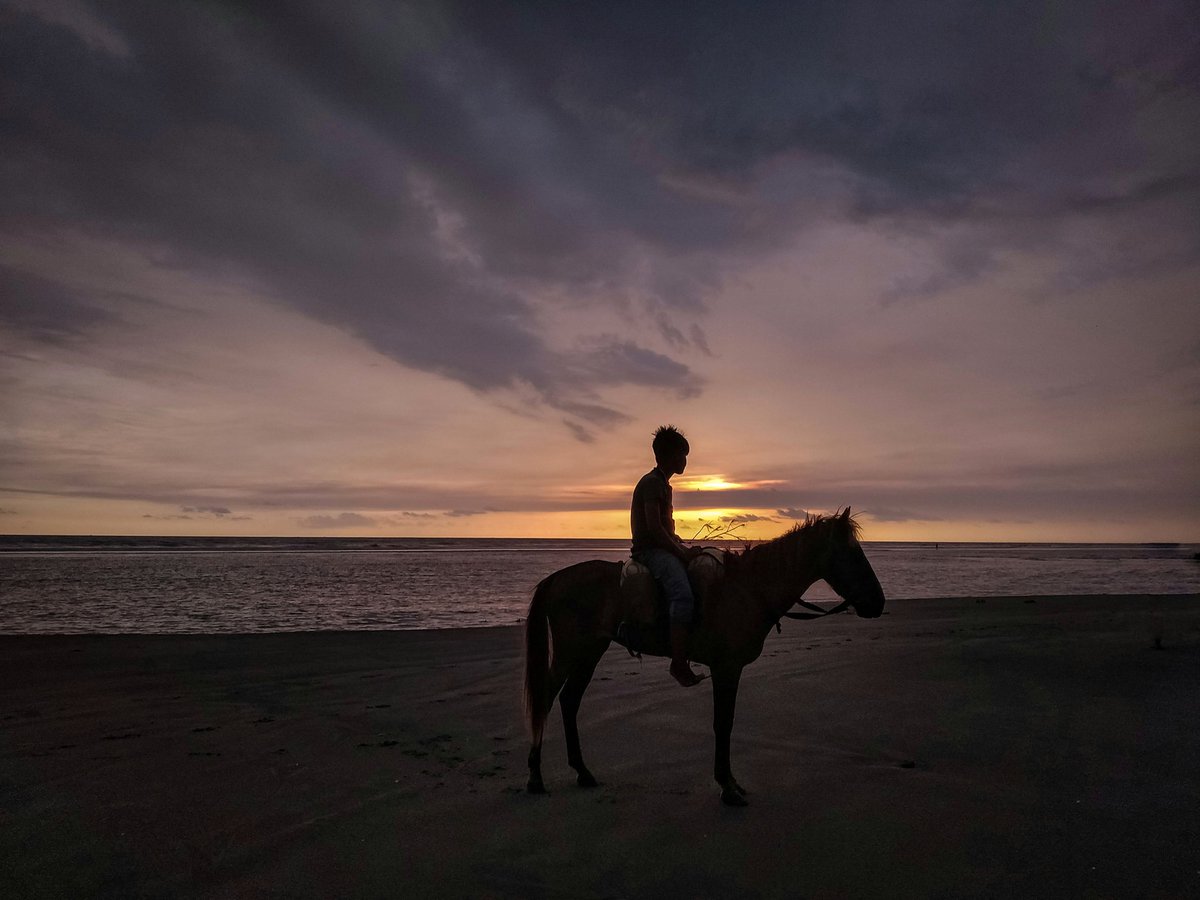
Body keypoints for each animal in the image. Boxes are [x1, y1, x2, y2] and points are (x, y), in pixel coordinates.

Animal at [523, 511, 883, 806]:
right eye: (852, 554)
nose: (878, 603)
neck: (748, 589)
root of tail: (557, 578)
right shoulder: (726, 668)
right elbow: (723, 723)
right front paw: (727, 787)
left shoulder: (729, 670)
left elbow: (726, 722)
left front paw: (731, 782)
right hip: (572, 650)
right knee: (546, 699)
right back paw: (535, 779)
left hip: (590, 651)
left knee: (569, 701)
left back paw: (582, 772)